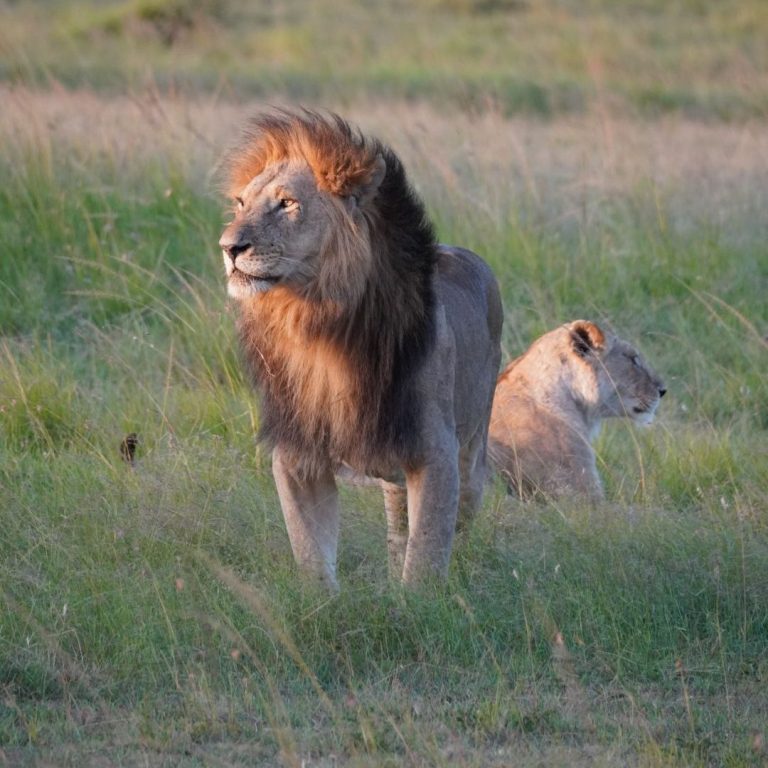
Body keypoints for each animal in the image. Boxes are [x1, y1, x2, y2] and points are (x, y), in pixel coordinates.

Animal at [218, 110, 503, 589]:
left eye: (287, 203)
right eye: (241, 203)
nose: (229, 247)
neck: (317, 325)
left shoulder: (436, 454)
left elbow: (426, 557)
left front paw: (420, 605)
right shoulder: (297, 455)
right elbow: (311, 551)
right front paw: (323, 603)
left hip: (471, 453)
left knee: (460, 522)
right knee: (398, 525)